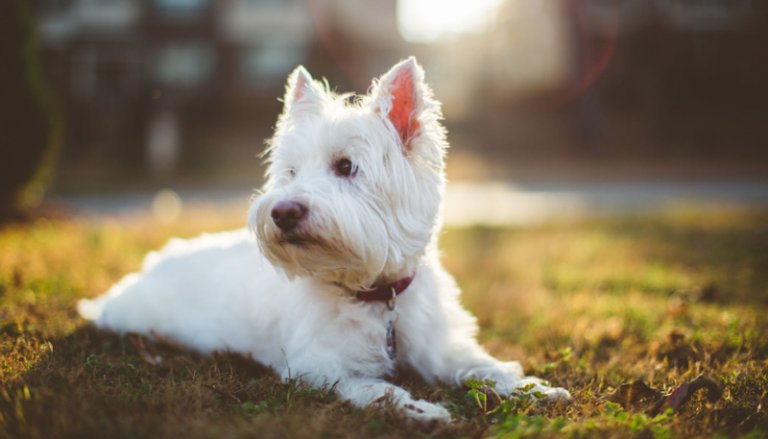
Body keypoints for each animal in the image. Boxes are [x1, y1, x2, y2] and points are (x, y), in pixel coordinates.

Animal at [79, 57, 568, 422]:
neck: (375, 295)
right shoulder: (318, 366)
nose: (282, 212)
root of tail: (148, 265)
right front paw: (420, 409)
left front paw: (531, 387)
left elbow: (482, 365)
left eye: (346, 166)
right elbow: (375, 387)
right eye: (291, 172)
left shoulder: (440, 347)